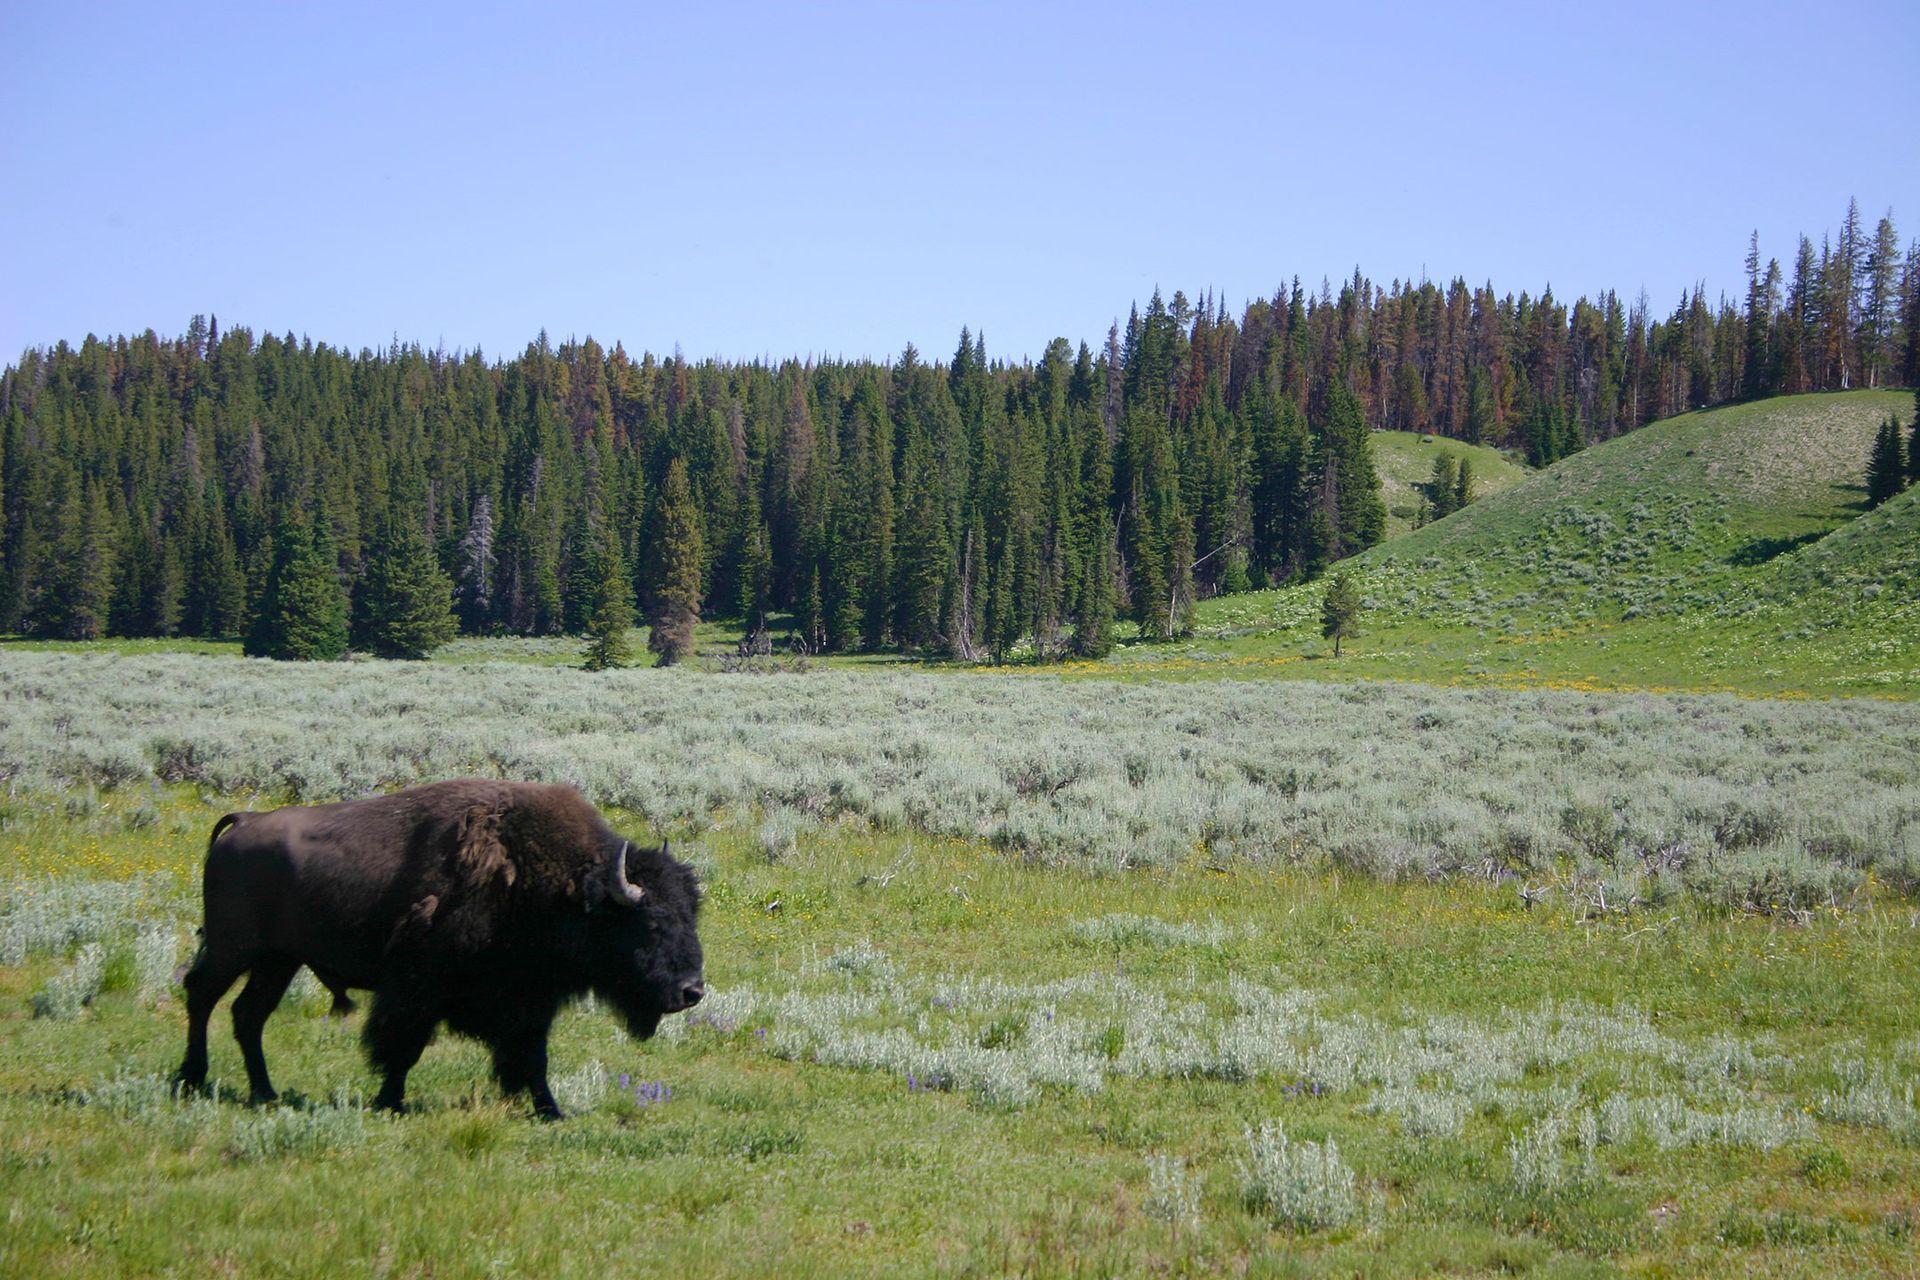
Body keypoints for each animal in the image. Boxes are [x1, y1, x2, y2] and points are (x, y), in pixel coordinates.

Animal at [174, 779, 705, 1118]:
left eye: (692, 915)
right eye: (652, 923)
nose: (692, 991)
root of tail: (245, 821)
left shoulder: (531, 1001)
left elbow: (532, 1058)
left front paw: (550, 1111)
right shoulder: (418, 987)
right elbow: (403, 1045)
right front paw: (390, 1102)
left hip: (278, 961)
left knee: (248, 1015)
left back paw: (264, 1093)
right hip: (233, 949)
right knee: (202, 996)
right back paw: (192, 1081)